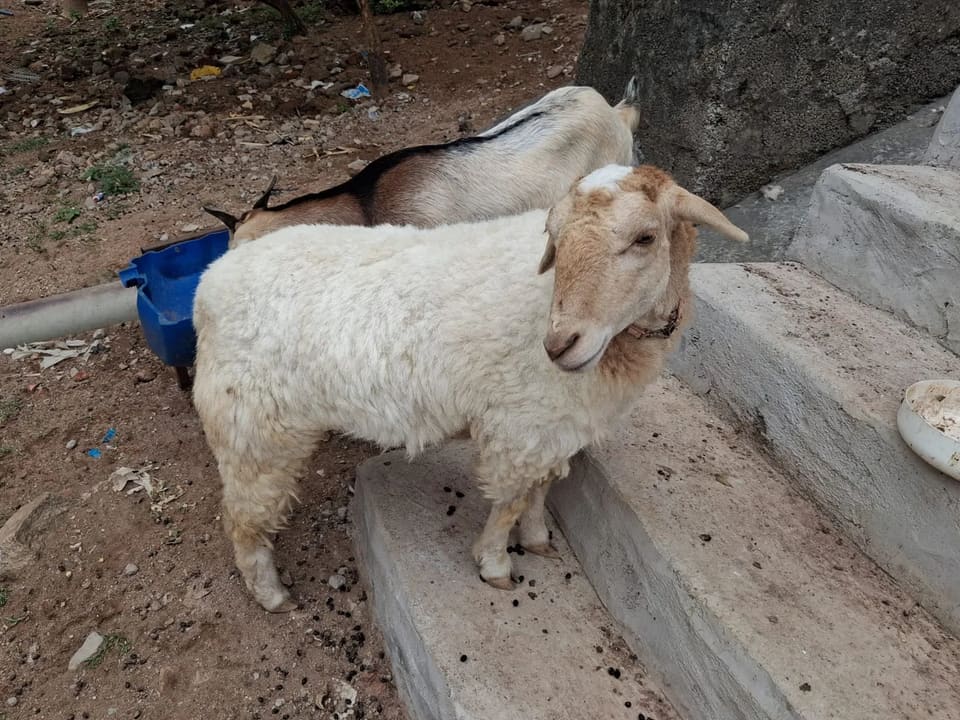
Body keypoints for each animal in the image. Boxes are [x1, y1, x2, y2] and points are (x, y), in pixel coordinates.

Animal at [192, 163, 748, 612]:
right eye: (555, 237)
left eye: (645, 238)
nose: (560, 344)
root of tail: (211, 282)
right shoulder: (520, 425)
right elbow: (510, 500)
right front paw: (496, 565)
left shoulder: (554, 425)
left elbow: (541, 488)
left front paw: (539, 538)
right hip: (253, 428)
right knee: (241, 519)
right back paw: (271, 595)